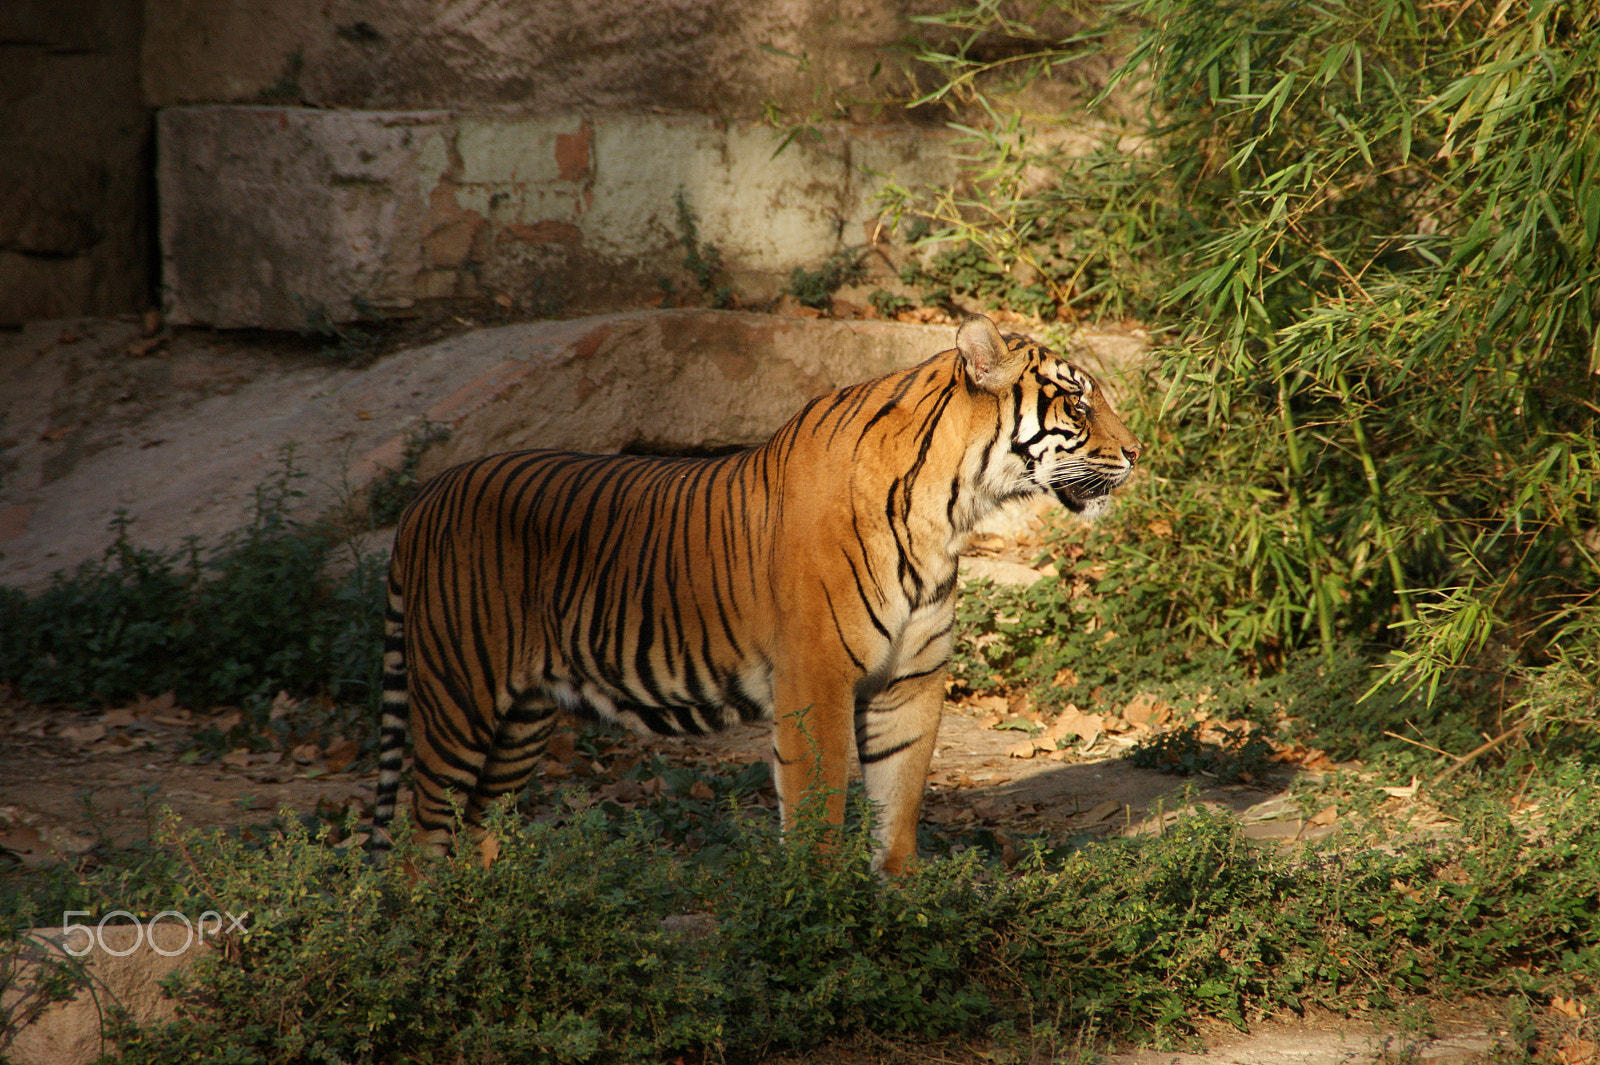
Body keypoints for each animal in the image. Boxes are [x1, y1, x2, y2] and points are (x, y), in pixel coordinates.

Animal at [372, 313, 1141, 875]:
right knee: (422, 835)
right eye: (1077, 400)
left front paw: (900, 915)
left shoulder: (910, 684)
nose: (1137, 453)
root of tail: (425, 496)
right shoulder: (816, 678)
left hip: (522, 717)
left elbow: (896, 812)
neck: (949, 508)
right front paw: (814, 923)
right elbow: (818, 811)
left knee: (476, 827)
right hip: (458, 698)